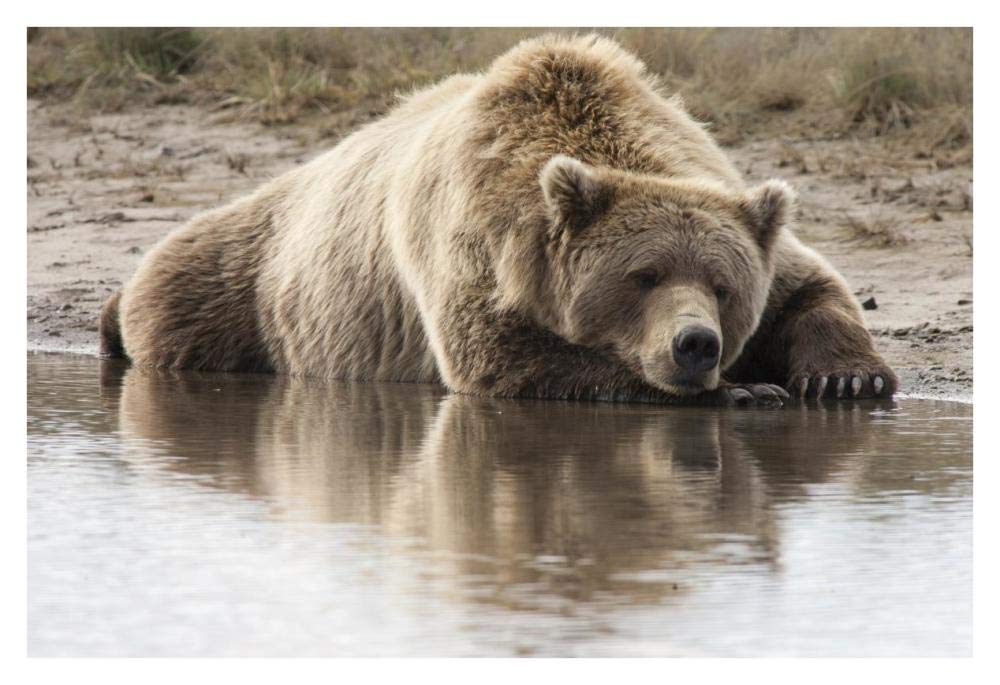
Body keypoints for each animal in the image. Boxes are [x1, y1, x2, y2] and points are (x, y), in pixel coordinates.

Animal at [100, 34, 897, 407]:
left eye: (724, 286)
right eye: (643, 275)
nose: (696, 344)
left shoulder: (720, 189)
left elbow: (808, 285)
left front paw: (846, 380)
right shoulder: (477, 245)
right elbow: (506, 358)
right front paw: (744, 389)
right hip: (246, 282)